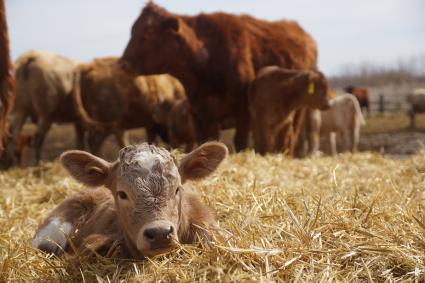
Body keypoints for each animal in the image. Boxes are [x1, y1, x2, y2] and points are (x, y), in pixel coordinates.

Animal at [121, 2, 316, 153]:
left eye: (148, 33)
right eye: (132, 31)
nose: (123, 64)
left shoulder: (243, 110)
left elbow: (240, 141)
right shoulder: (199, 112)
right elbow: (206, 141)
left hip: (298, 110)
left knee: (289, 138)